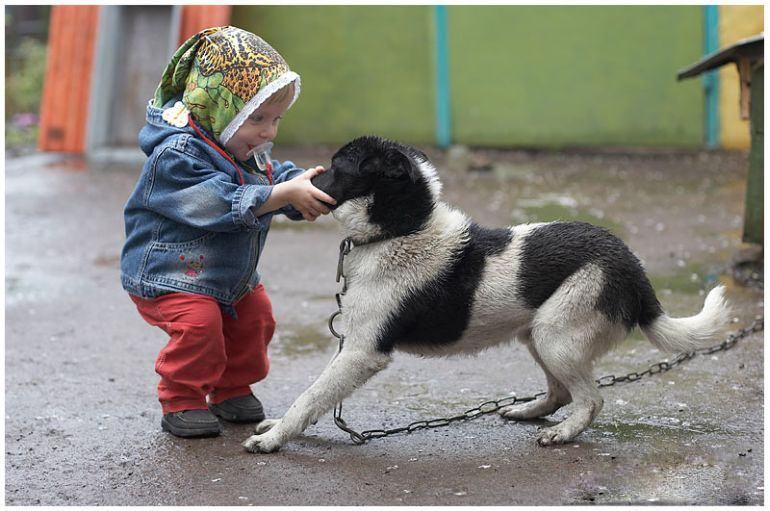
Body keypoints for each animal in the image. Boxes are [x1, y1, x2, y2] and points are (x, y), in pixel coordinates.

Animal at [243, 136, 728, 452]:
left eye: (337, 164)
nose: (300, 180)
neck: (403, 229)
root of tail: (633, 268)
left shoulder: (363, 350)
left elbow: (311, 395)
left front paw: (276, 437)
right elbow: (315, 397)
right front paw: (283, 427)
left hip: (557, 336)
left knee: (591, 399)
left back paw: (563, 433)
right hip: (539, 335)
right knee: (562, 392)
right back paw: (529, 411)